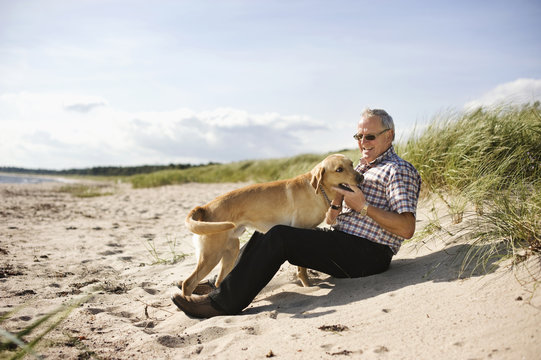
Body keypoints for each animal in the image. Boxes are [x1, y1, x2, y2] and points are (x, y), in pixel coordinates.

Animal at [181, 153, 362, 296]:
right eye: (339, 169)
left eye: (351, 164)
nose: (361, 177)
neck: (318, 191)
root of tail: (204, 207)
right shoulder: (299, 229)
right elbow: (302, 269)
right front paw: (308, 286)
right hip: (211, 255)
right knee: (188, 283)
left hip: (230, 252)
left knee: (219, 282)